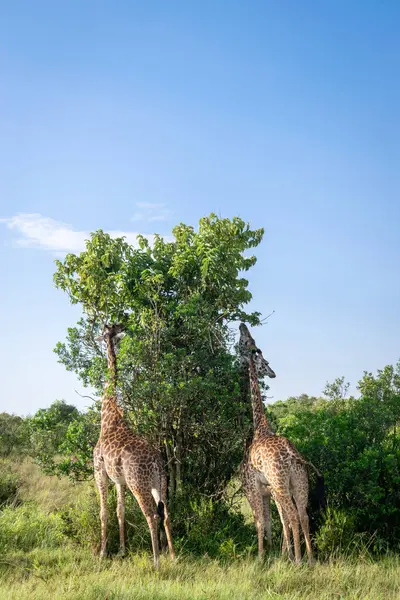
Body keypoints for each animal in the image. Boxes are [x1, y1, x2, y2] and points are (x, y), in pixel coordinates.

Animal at [94, 324, 176, 568]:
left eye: (105, 334)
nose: (107, 338)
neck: (108, 416)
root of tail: (157, 462)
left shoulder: (100, 472)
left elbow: (104, 512)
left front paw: (103, 553)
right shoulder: (118, 480)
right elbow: (120, 511)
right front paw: (122, 550)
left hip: (138, 484)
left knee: (151, 514)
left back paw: (156, 561)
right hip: (160, 483)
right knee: (166, 514)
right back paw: (173, 556)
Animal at [238, 324, 322, 564]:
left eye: (244, 340)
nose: (241, 325)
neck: (260, 427)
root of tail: (292, 454)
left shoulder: (253, 488)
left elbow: (260, 521)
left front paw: (260, 557)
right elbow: (268, 522)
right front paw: (273, 553)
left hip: (279, 484)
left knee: (291, 516)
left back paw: (298, 559)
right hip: (299, 482)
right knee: (303, 514)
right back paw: (309, 559)